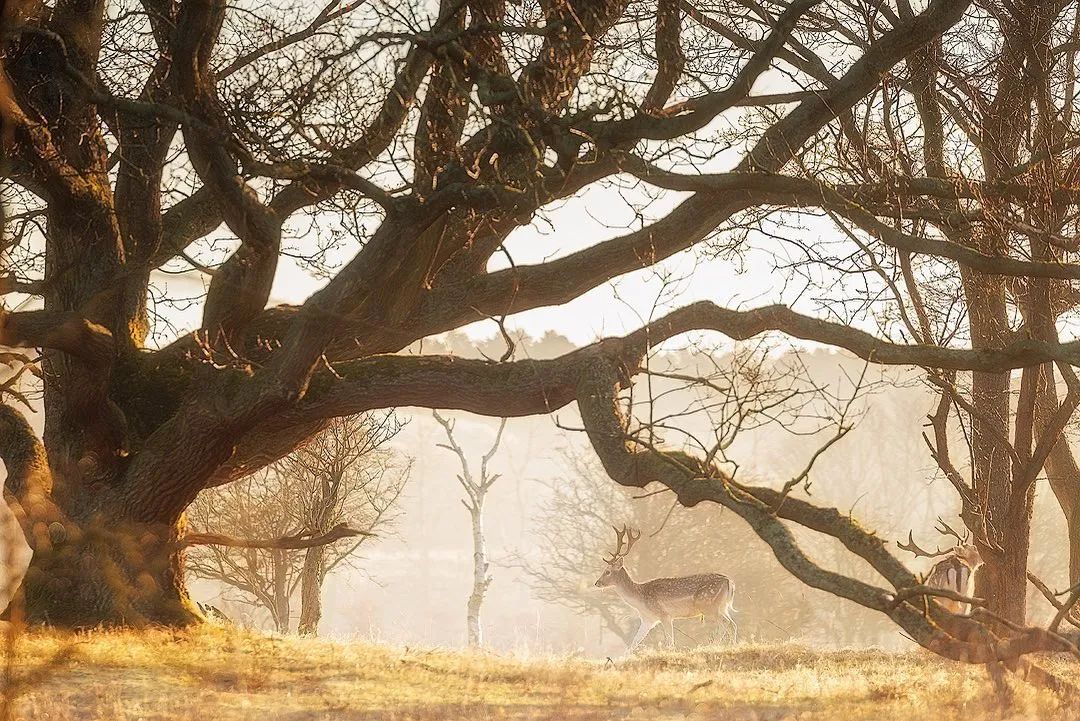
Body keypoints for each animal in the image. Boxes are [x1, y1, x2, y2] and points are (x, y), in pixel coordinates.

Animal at [594, 525, 737, 652]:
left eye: (607, 571)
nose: (597, 583)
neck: (640, 600)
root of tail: (729, 581)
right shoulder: (648, 620)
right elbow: (633, 644)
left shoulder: (665, 615)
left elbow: (670, 643)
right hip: (722, 607)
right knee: (732, 624)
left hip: (709, 606)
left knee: (727, 624)